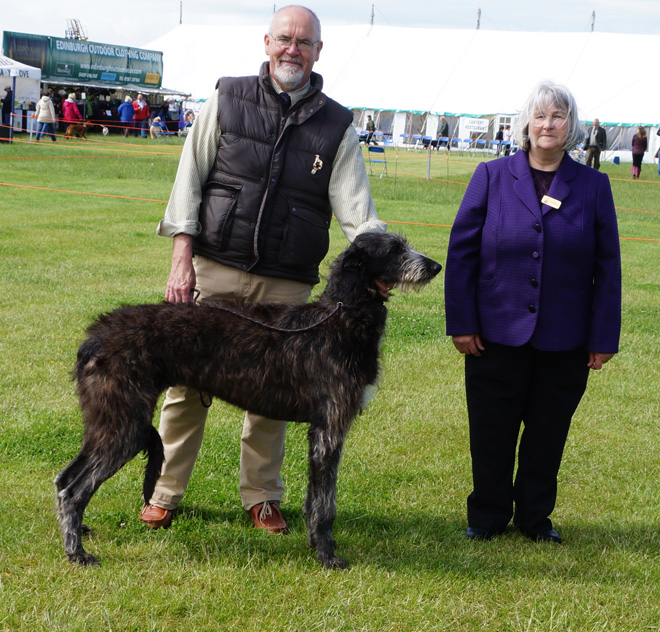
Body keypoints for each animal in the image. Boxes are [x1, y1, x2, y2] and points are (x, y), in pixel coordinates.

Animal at [54, 232, 440, 568]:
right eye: (394, 250)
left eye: (404, 244)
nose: (436, 266)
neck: (338, 319)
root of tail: (93, 338)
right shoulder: (329, 429)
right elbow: (325, 503)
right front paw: (327, 556)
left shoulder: (320, 431)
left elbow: (314, 499)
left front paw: (315, 544)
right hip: (125, 424)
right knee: (73, 490)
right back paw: (77, 553)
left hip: (107, 420)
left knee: (63, 479)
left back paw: (78, 531)